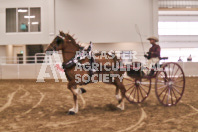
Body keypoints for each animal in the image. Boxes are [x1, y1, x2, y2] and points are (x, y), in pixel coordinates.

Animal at [45, 31, 185, 114]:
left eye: (57, 40)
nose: (47, 49)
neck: (76, 60)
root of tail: (118, 59)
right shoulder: (72, 81)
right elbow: (73, 94)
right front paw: (74, 109)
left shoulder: (80, 79)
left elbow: (72, 89)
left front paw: (81, 91)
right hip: (110, 78)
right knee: (120, 88)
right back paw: (118, 100)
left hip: (115, 78)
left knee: (123, 89)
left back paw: (121, 105)